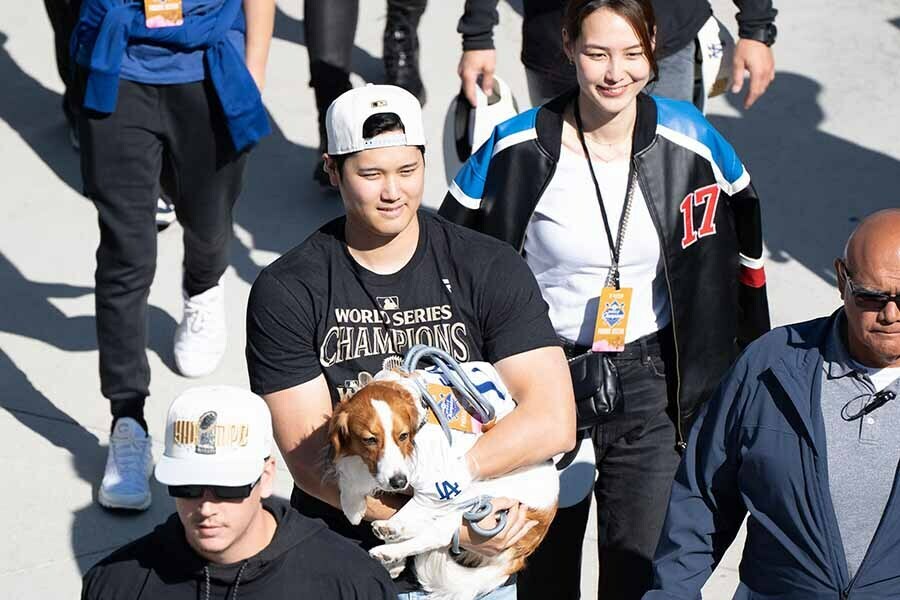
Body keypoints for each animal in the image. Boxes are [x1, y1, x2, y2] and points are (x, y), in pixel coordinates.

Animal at [326, 370, 560, 600]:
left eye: (403, 436)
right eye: (370, 440)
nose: (399, 482)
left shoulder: (439, 484)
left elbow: (415, 507)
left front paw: (392, 524)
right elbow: (351, 477)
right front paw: (353, 506)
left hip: (476, 501)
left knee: (436, 535)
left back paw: (390, 548)